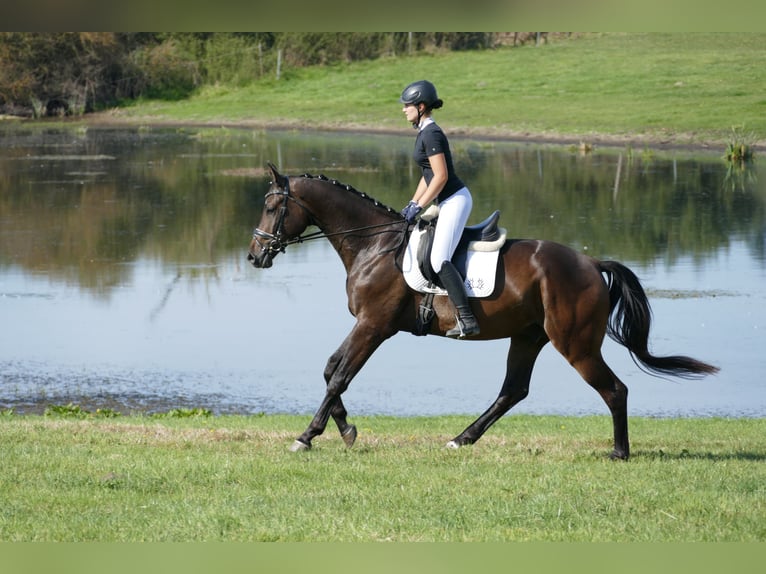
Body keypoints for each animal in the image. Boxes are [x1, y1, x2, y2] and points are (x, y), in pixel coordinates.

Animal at [248, 163, 720, 464]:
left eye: (271, 208)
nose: (254, 256)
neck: (374, 245)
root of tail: (591, 263)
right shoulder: (366, 325)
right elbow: (331, 369)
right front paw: (345, 430)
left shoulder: (374, 326)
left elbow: (340, 376)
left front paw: (307, 437)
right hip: (528, 336)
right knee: (513, 391)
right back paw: (461, 440)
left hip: (576, 344)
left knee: (614, 390)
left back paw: (619, 453)